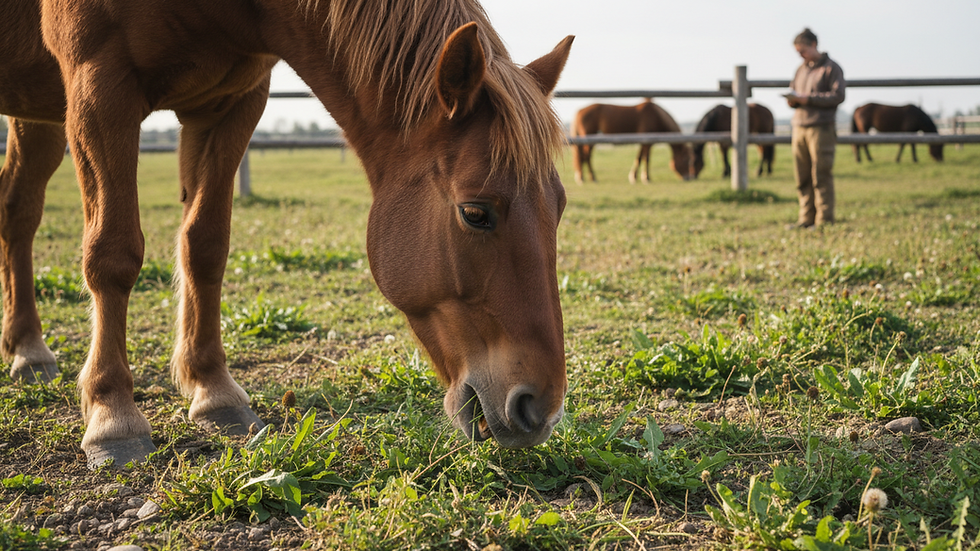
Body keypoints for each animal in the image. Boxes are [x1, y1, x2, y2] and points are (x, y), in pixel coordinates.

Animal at [0, 0, 573, 469]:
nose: (539, 409)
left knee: (17, 212)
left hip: (39, 115)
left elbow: (206, 245)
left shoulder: (232, 102)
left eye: (560, 207)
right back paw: (30, 350)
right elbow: (113, 254)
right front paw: (112, 414)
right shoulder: (100, 90)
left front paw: (214, 391)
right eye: (475, 213)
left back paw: (25, 345)